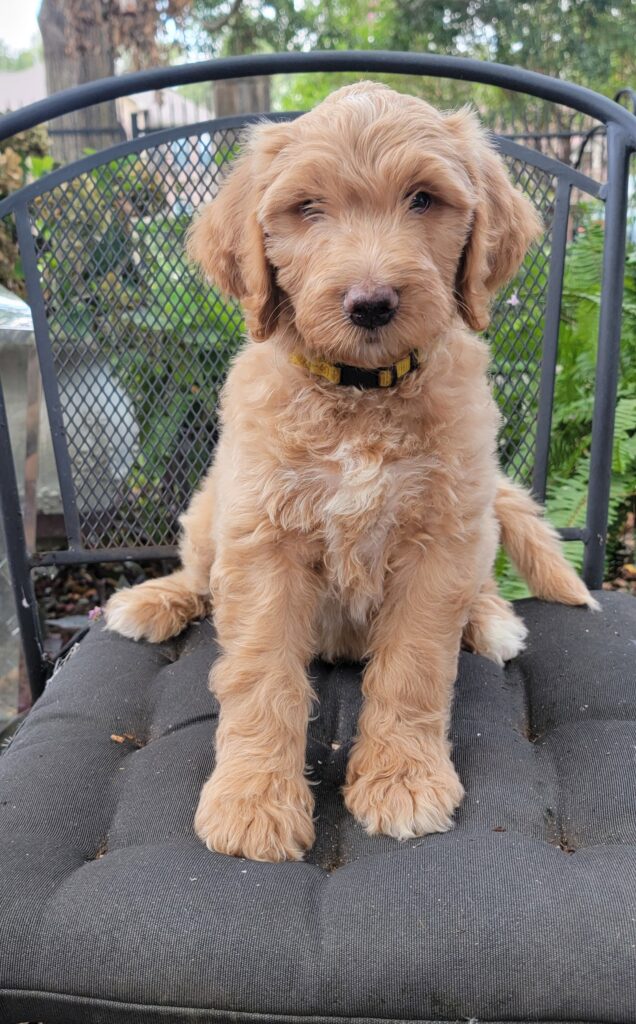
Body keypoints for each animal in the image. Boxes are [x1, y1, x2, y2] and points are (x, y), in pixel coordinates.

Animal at [103, 81, 594, 864]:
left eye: (423, 199)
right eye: (308, 208)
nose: (370, 304)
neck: (362, 396)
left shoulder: (441, 537)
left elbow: (415, 669)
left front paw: (403, 781)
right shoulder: (261, 537)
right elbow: (260, 674)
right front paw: (254, 801)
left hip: (478, 518)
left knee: (477, 590)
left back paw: (491, 619)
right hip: (212, 509)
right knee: (197, 573)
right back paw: (155, 600)